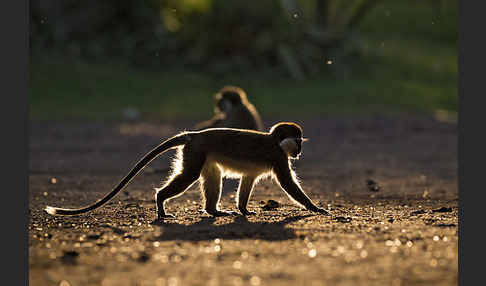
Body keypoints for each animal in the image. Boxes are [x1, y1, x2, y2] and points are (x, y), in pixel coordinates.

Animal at [45, 122, 328, 219]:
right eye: (298, 141)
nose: (300, 151)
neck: (274, 141)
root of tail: (194, 135)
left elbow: (247, 180)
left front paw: (243, 209)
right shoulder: (278, 157)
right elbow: (288, 185)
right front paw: (315, 208)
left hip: (200, 154)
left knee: (212, 176)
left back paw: (213, 210)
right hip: (195, 153)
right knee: (189, 176)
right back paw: (161, 202)